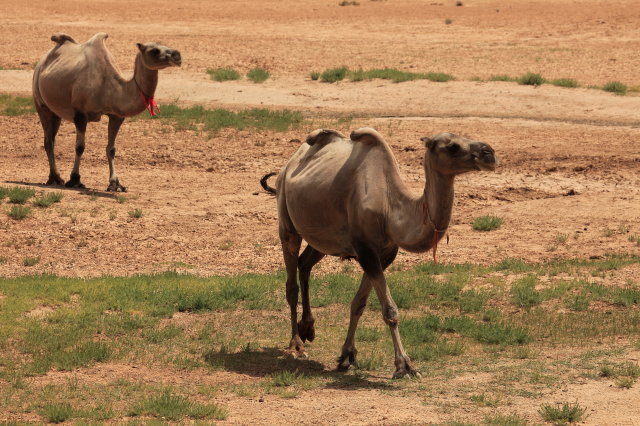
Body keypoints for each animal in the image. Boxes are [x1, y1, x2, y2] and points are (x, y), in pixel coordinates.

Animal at [34, 33, 181, 191]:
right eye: (154, 50)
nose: (178, 55)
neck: (110, 88)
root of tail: (41, 63)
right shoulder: (80, 114)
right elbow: (80, 147)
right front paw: (75, 179)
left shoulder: (116, 116)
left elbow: (111, 149)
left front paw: (115, 183)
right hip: (40, 102)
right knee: (48, 140)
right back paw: (55, 178)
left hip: (55, 112)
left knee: (52, 138)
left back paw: (55, 177)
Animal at [260, 127, 496, 380]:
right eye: (453, 146)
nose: (489, 153)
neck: (390, 208)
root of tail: (288, 166)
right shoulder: (366, 250)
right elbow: (390, 310)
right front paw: (404, 366)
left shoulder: (384, 254)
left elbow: (359, 304)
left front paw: (347, 356)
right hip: (287, 220)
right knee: (291, 282)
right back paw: (296, 344)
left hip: (323, 237)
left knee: (305, 264)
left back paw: (308, 328)